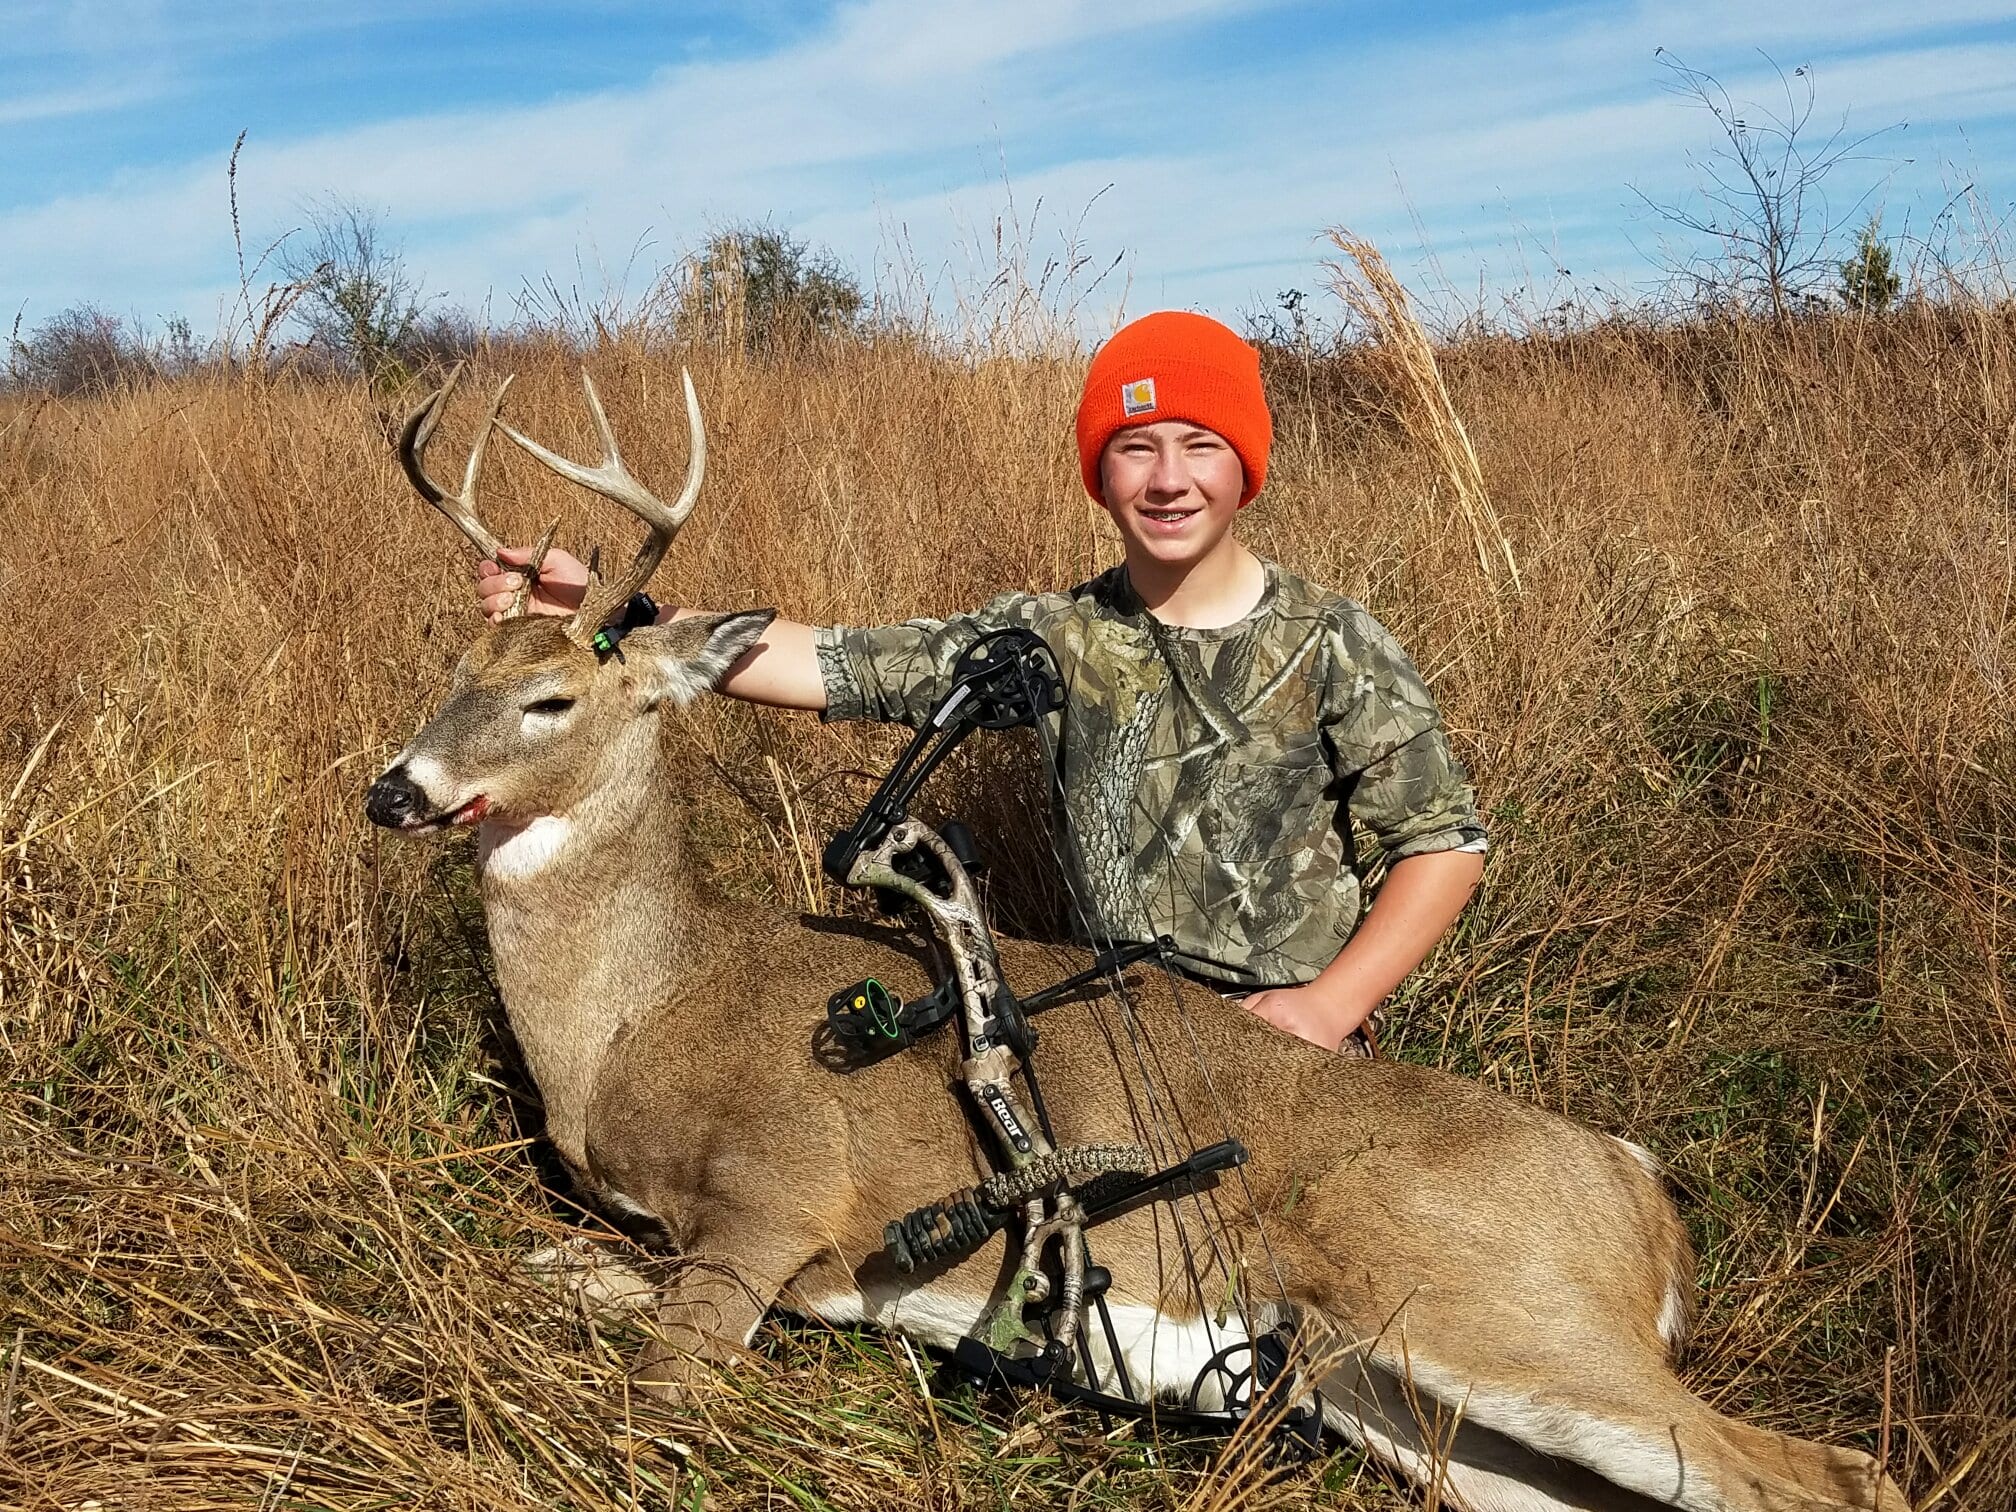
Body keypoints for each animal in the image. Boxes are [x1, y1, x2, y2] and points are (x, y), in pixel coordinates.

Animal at [365, 364, 1908, 1512]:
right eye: (450, 672)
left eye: (554, 700)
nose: (398, 789)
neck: (641, 1013)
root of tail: (1640, 1186)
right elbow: (554, 1272)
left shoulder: (776, 1198)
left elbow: (656, 1395)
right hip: (1392, 1392)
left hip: (1495, 1308)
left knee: (1837, 1473)